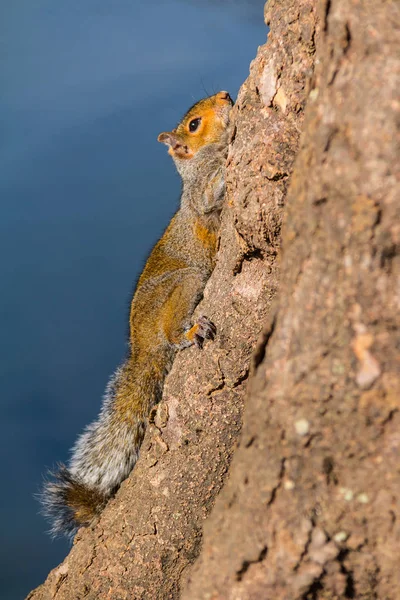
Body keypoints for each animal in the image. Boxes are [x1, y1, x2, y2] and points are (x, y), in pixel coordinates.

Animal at [39, 90, 233, 540]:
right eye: (194, 124)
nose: (226, 95)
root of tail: (143, 347)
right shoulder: (200, 196)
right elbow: (210, 196)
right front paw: (231, 149)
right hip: (184, 284)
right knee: (173, 331)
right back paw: (189, 331)